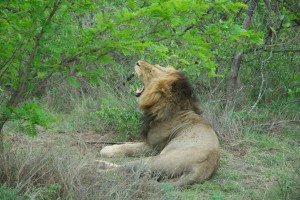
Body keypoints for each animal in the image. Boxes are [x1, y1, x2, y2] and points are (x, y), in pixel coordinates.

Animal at [99, 59, 219, 188]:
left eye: (152, 69)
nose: (138, 62)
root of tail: (203, 169)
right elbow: (129, 143)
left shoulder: (153, 147)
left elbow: (129, 147)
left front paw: (107, 150)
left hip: (155, 160)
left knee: (124, 169)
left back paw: (98, 168)